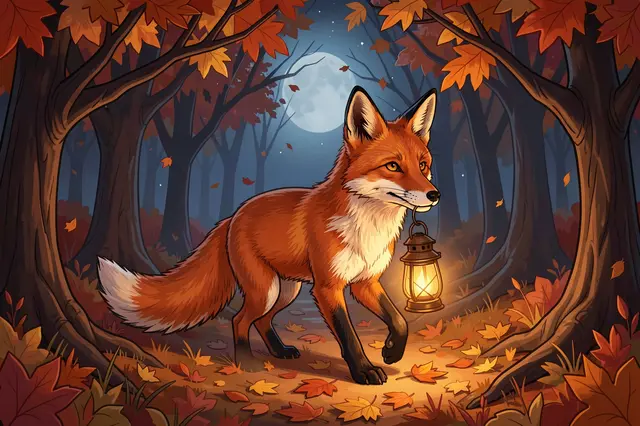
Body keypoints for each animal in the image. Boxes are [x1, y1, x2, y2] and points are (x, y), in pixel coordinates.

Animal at [98, 85, 440, 385]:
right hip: (266, 289)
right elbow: (348, 335)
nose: (434, 195)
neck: (367, 226)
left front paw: (392, 352)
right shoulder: (328, 287)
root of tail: (233, 216)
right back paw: (246, 362)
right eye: (393, 166)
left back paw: (279, 351)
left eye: (423, 165)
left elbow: (399, 320)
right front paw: (364, 372)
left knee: (261, 320)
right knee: (239, 319)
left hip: (285, 290)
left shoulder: (364, 282)